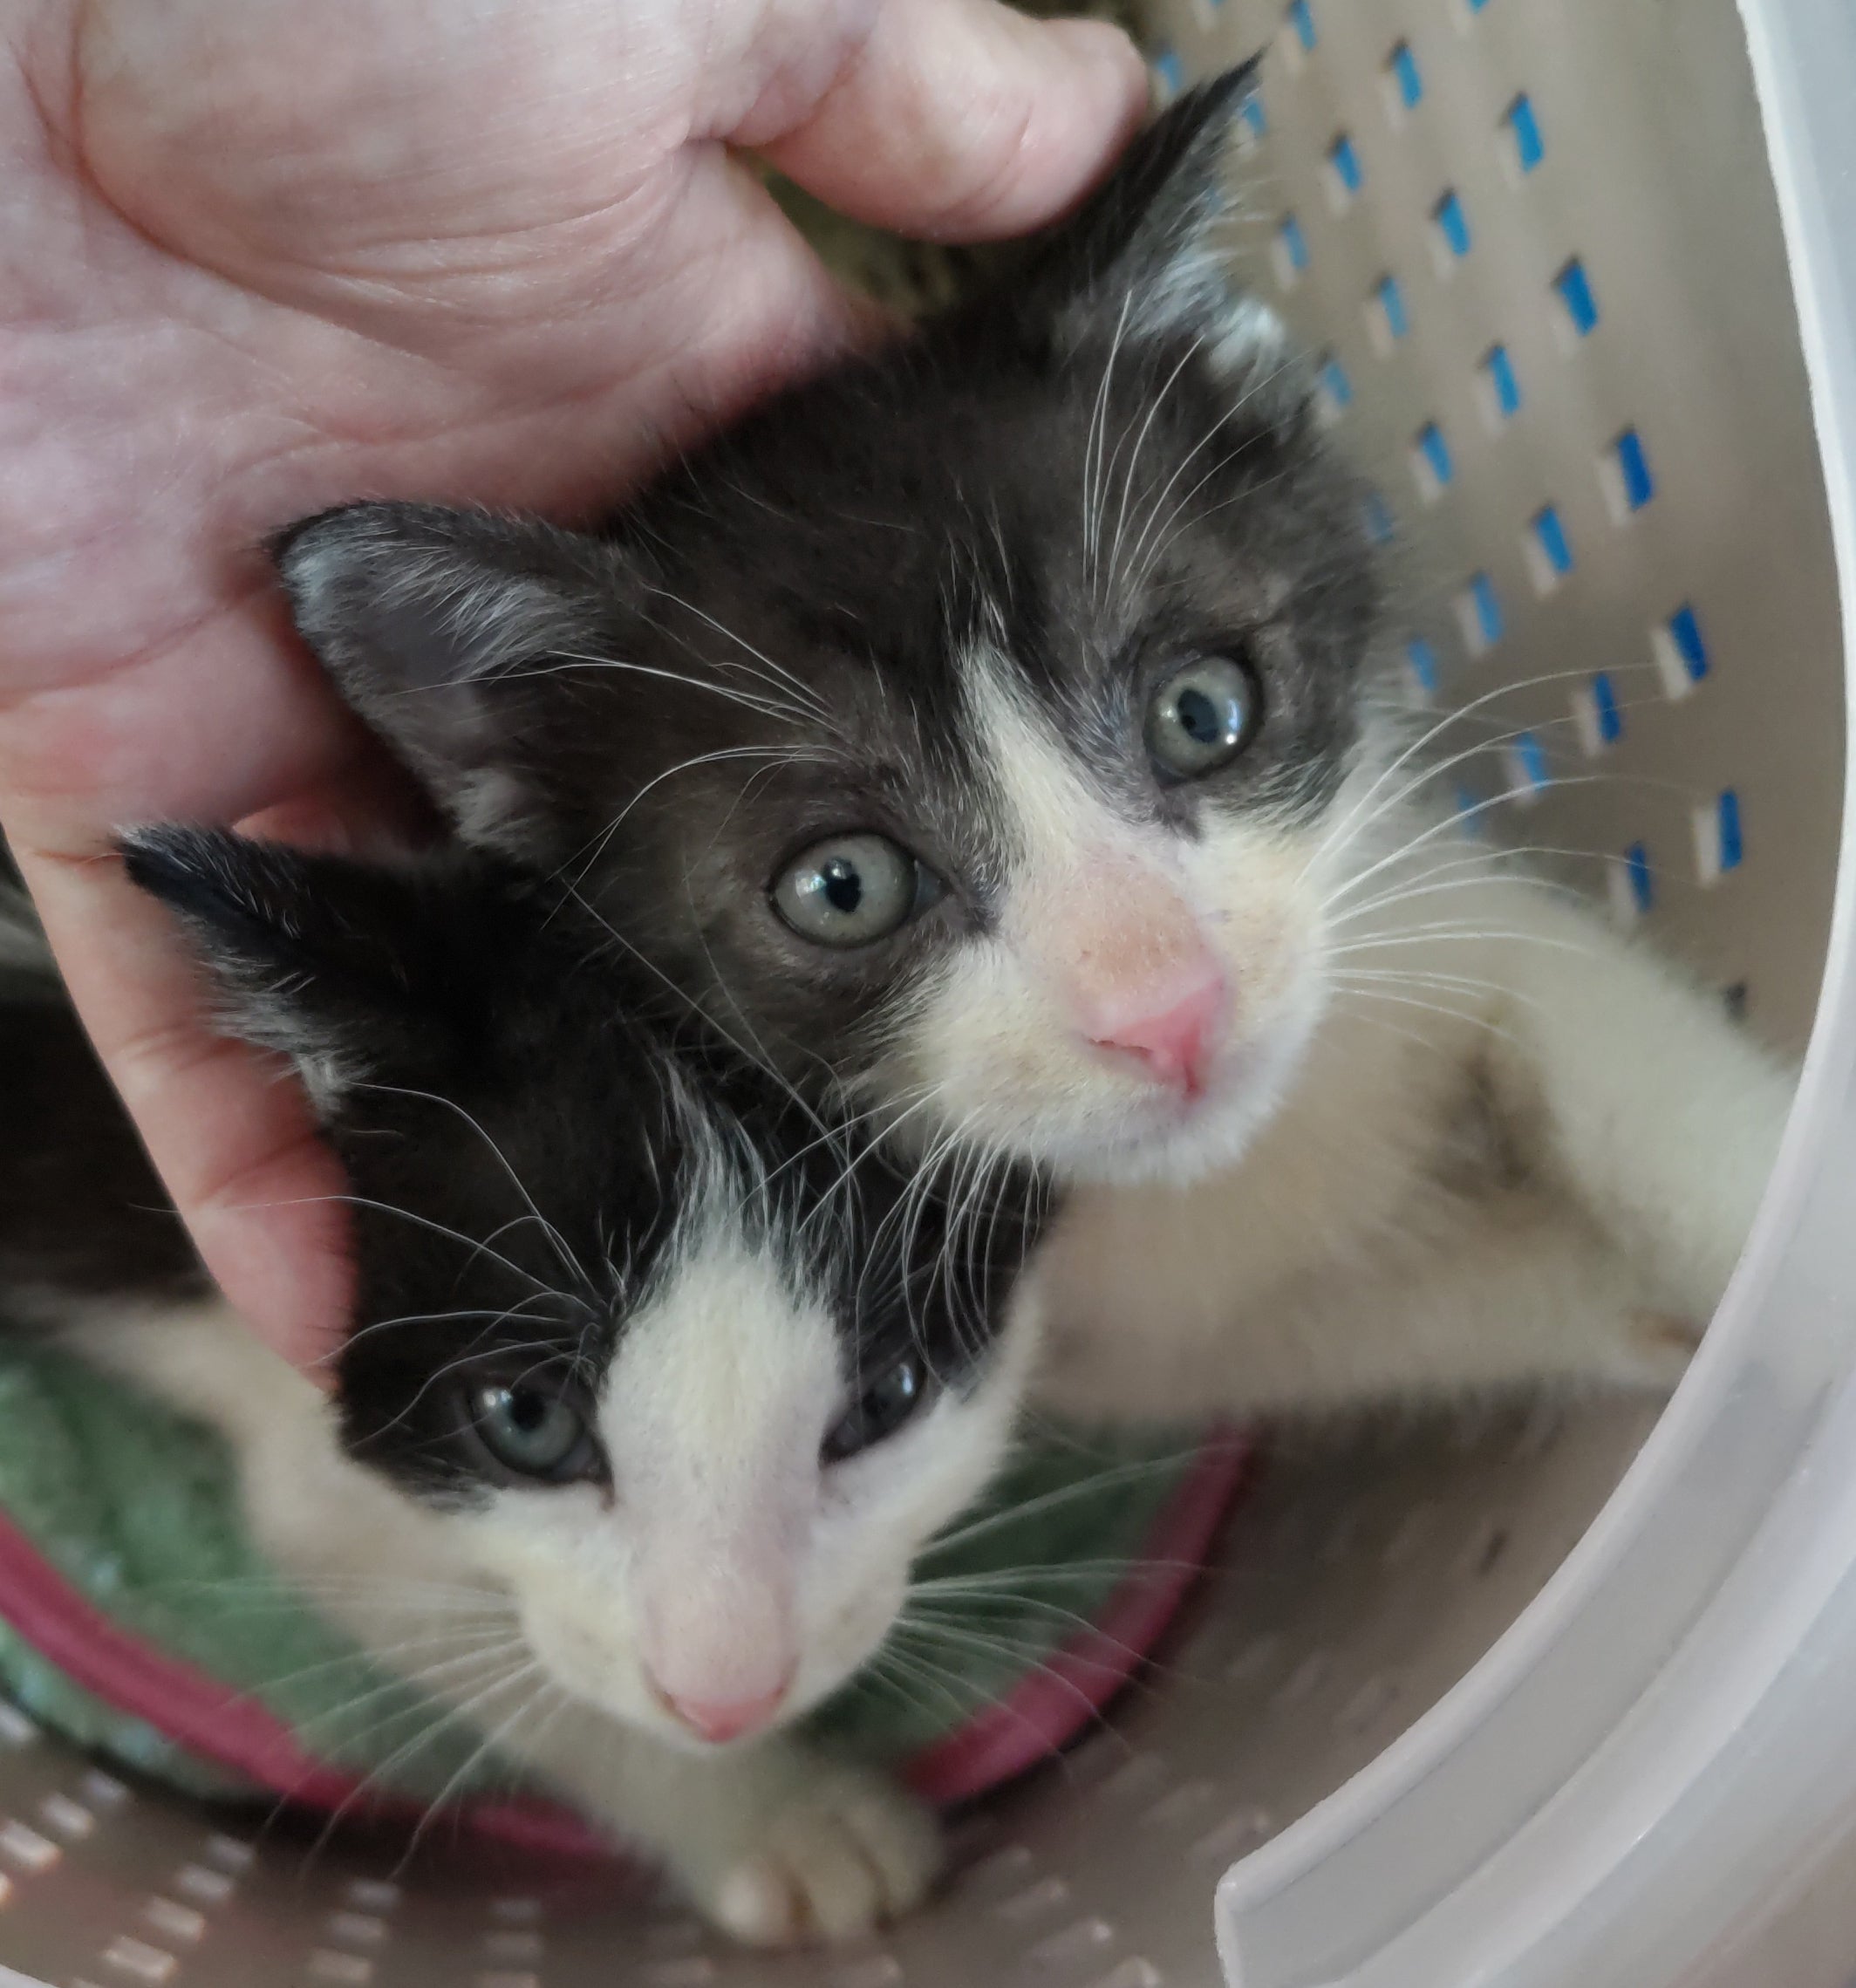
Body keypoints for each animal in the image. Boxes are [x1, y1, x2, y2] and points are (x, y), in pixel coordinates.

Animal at [243, 65, 1800, 1423]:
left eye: (1202, 711)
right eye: (843, 885)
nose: (1172, 1010)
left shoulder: (1415, 886)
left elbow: (1625, 1066)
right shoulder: (1123, 1348)